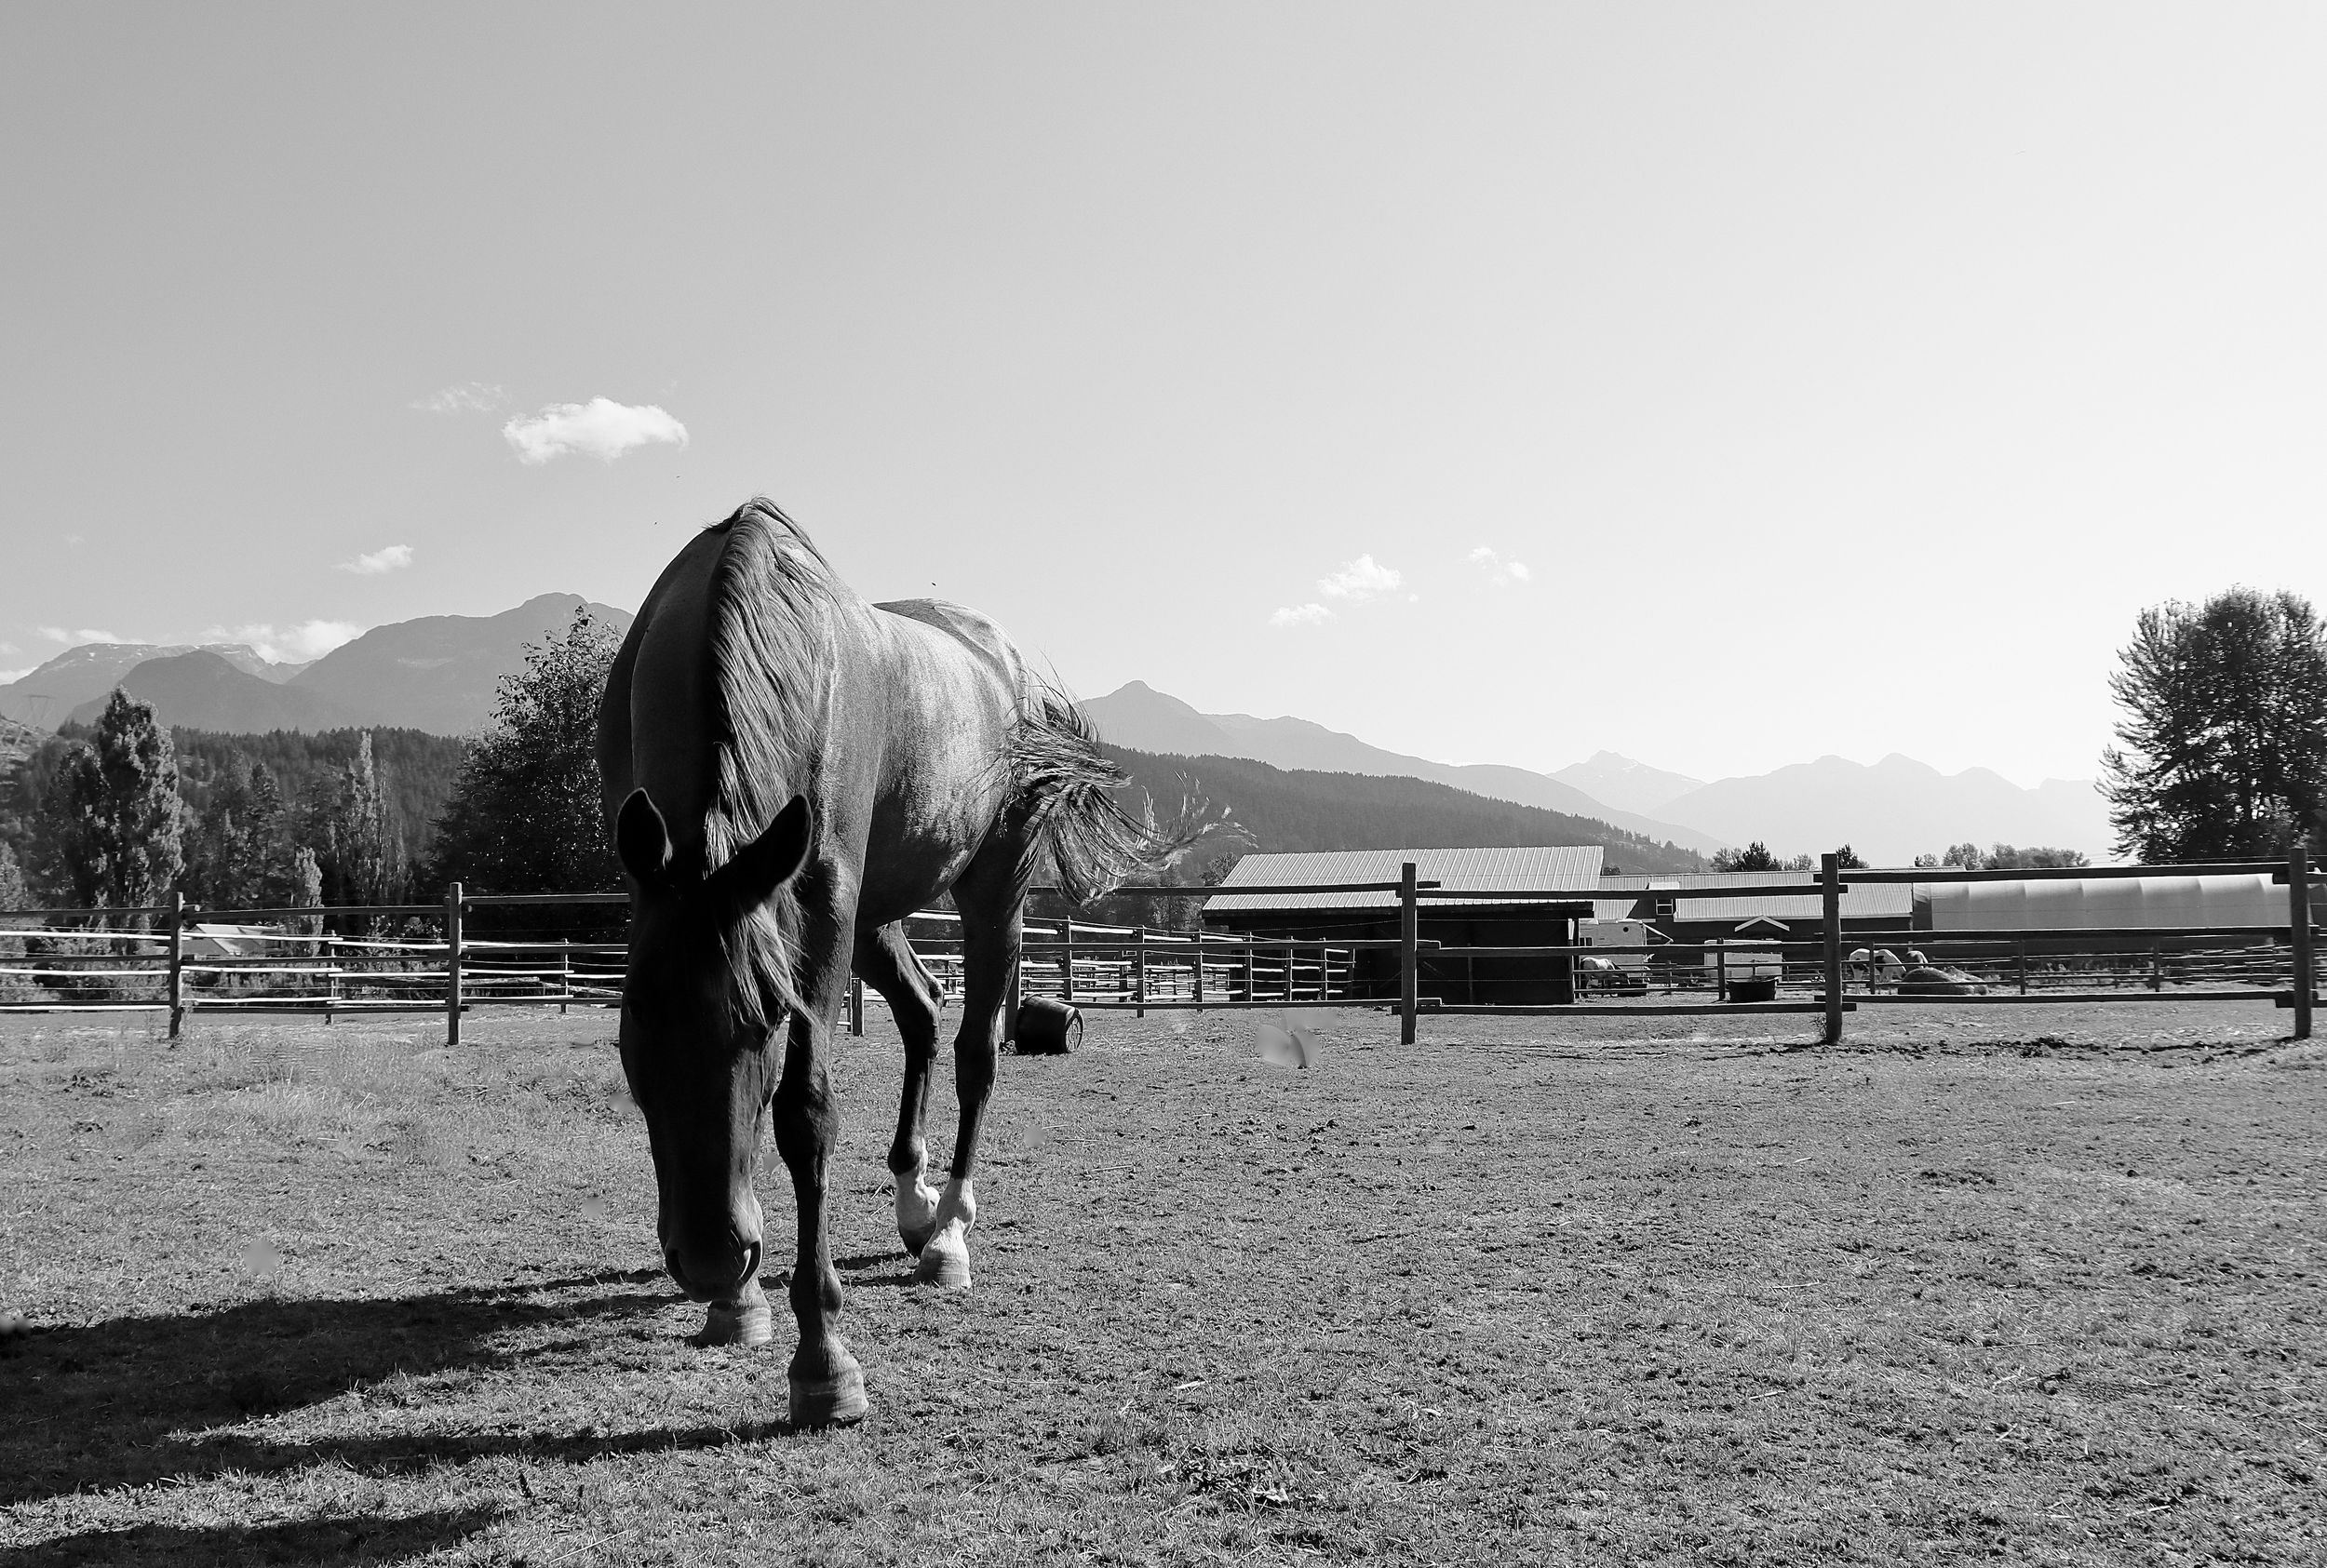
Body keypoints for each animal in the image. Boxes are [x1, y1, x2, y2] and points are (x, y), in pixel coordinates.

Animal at [596, 499, 1169, 1426]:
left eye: (769, 1018)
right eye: (636, 1014)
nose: (714, 1256)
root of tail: (1012, 671)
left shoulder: (823, 892)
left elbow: (805, 1111)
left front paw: (823, 1357)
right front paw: (741, 1305)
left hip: (989, 892)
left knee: (975, 1050)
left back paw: (948, 1235)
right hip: (876, 914)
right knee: (924, 1009)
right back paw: (915, 1201)